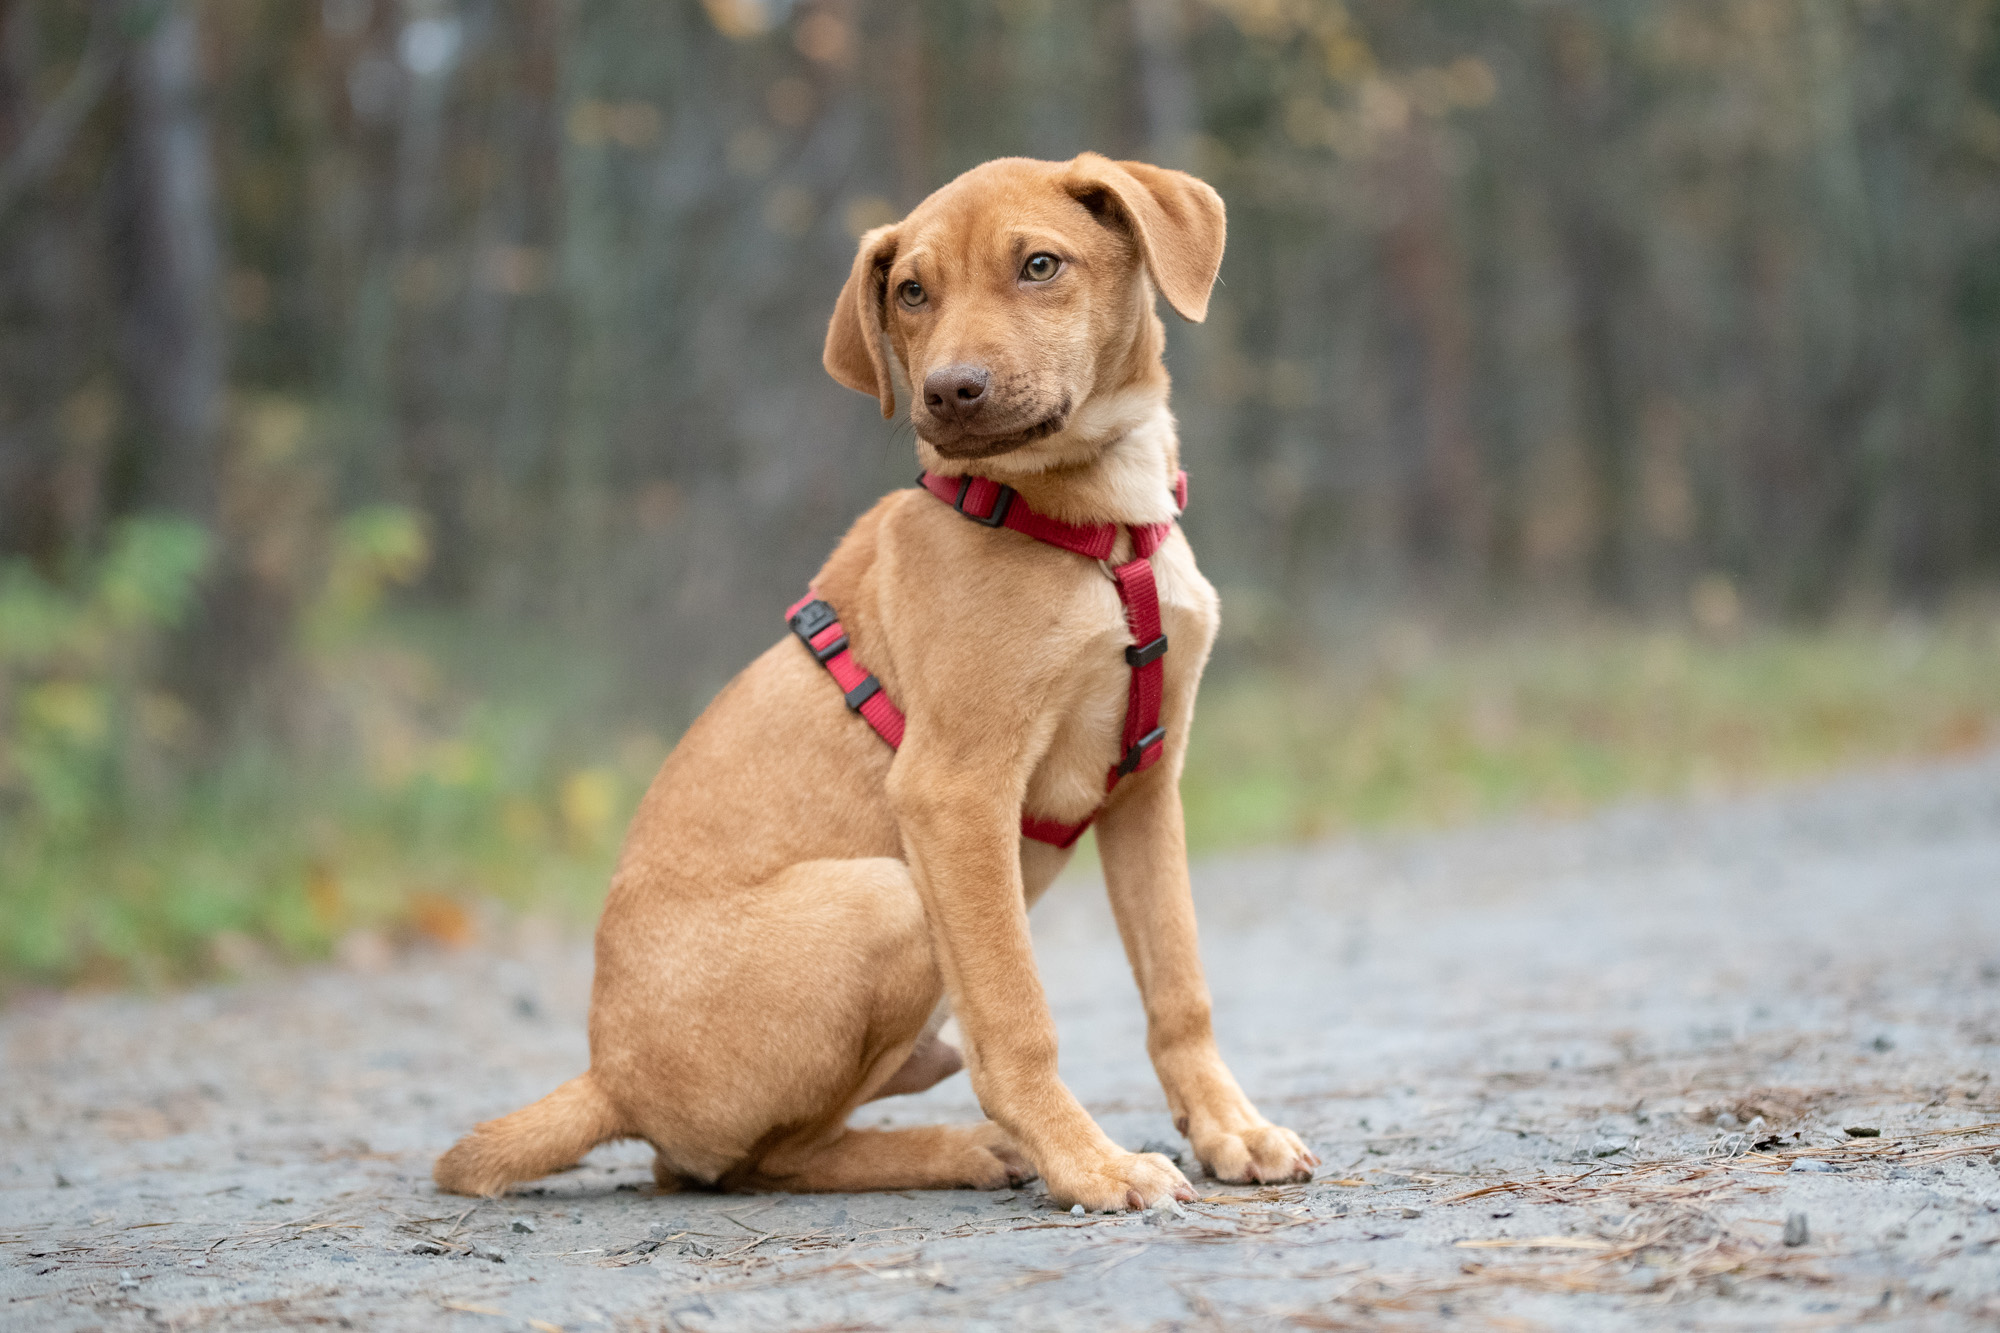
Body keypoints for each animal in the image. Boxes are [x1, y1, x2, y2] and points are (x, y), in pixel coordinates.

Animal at [434, 154, 1317, 1212]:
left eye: (1040, 265)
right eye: (911, 293)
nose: (950, 391)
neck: (1092, 529)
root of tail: (611, 1078)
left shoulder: (1147, 785)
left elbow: (1179, 988)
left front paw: (1231, 1128)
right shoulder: (955, 792)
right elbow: (1018, 1015)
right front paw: (1090, 1164)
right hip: (887, 895)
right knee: (752, 1162)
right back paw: (964, 1145)